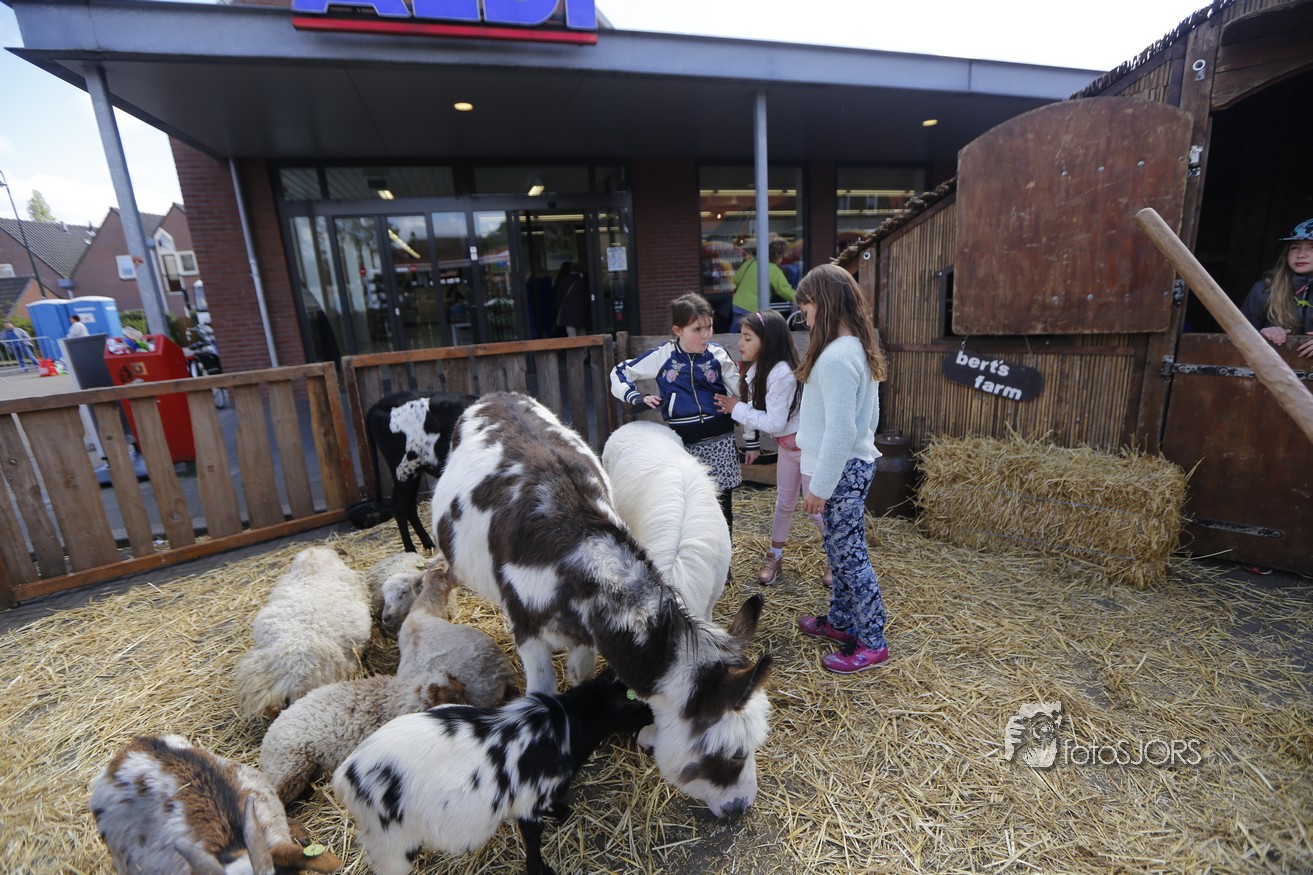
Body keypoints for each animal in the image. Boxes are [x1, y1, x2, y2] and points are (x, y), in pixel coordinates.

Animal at [333, 669, 652, 875]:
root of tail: (345, 775)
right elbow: (532, 841)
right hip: (390, 841)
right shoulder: (528, 803)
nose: (653, 718)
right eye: (638, 701)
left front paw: (560, 811)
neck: (564, 728)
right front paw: (540, 870)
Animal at [365, 390, 479, 552]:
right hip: (404, 468)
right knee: (400, 506)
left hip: (411, 471)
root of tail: (385, 401)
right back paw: (410, 549)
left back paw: (428, 544)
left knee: (408, 506)